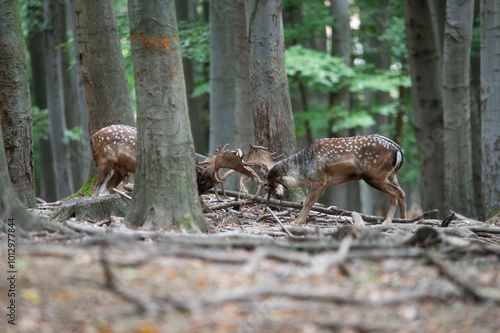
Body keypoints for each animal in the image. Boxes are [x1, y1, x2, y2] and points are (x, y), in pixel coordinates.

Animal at [262, 135, 406, 226]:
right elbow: (312, 202)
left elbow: (308, 201)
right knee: (402, 192)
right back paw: (404, 220)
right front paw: (302, 221)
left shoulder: (319, 179)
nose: (277, 195)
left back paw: (387, 222)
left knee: (395, 192)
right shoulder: (324, 183)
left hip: (374, 175)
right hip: (391, 174)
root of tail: (398, 149)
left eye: (266, 183)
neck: (304, 171)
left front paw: (296, 221)